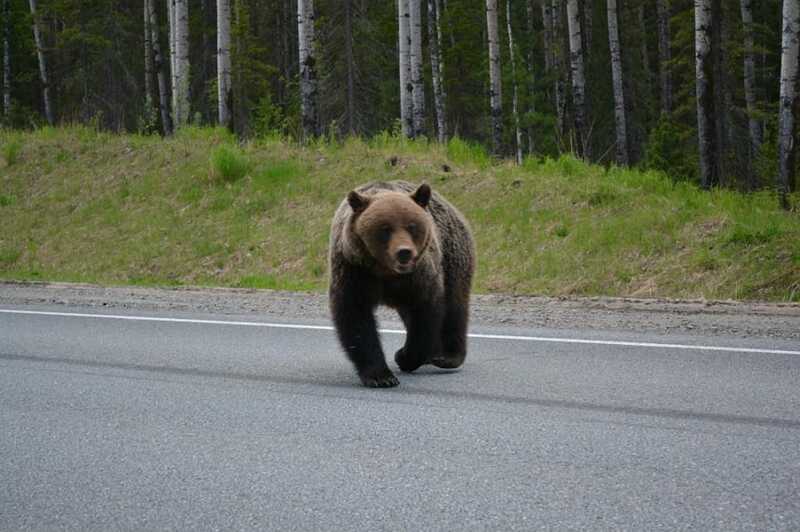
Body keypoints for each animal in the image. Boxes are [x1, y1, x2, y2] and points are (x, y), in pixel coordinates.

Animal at [326, 180, 476, 386]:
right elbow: (355, 316)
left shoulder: (419, 275)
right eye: (385, 228)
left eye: (412, 226)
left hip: (453, 255)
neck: (387, 271)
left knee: (455, 304)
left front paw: (404, 356)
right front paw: (381, 376)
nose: (404, 252)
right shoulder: (354, 269)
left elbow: (425, 312)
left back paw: (446, 356)